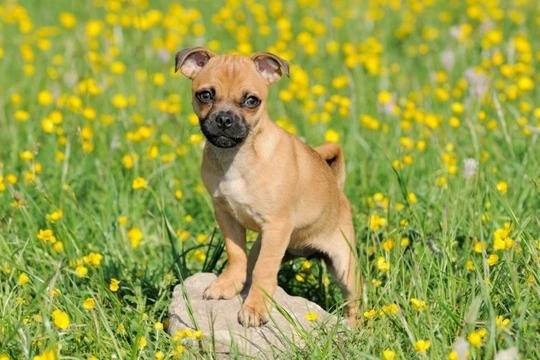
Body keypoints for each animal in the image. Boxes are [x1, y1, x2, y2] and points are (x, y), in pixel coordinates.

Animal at [175, 47, 358, 326]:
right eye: (205, 95)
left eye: (252, 101)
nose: (225, 119)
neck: (237, 157)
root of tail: (337, 188)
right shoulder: (227, 217)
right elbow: (236, 254)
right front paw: (227, 284)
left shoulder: (276, 227)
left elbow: (265, 270)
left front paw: (255, 307)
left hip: (344, 264)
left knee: (354, 302)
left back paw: (355, 325)